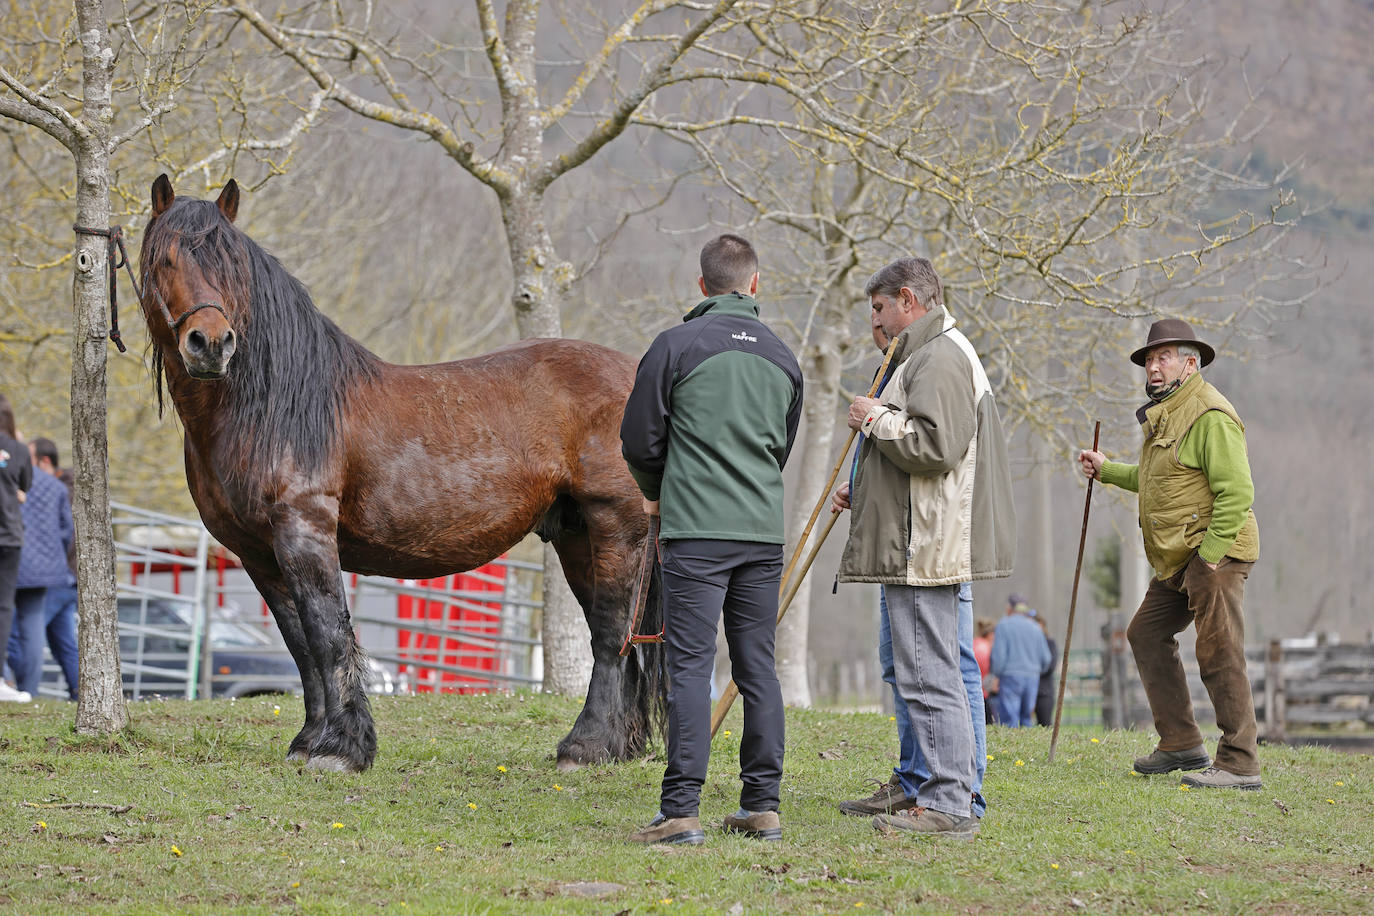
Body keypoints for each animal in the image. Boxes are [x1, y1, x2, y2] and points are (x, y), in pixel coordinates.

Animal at [139, 173, 659, 774]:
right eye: (166, 260)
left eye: (232, 266)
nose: (211, 344)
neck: (272, 404)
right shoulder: (256, 553)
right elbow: (300, 643)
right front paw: (309, 741)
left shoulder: (304, 533)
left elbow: (328, 634)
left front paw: (340, 750)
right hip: (577, 534)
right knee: (615, 635)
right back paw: (616, 747)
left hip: (615, 526)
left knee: (612, 633)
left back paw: (585, 747)